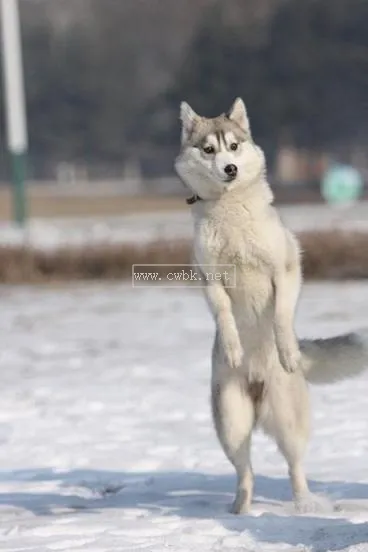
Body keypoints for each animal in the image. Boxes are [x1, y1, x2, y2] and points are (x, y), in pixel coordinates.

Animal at [174, 97, 366, 516]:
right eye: (208, 149)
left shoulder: (286, 269)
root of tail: (258, 388)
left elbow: (280, 315)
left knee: (295, 465)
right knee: (244, 469)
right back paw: (241, 508)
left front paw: (285, 349)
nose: (229, 168)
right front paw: (233, 347)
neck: (230, 209)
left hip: (289, 419)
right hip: (230, 420)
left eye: (233, 146)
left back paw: (304, 503)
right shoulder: (210, 280)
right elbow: (225, 313)